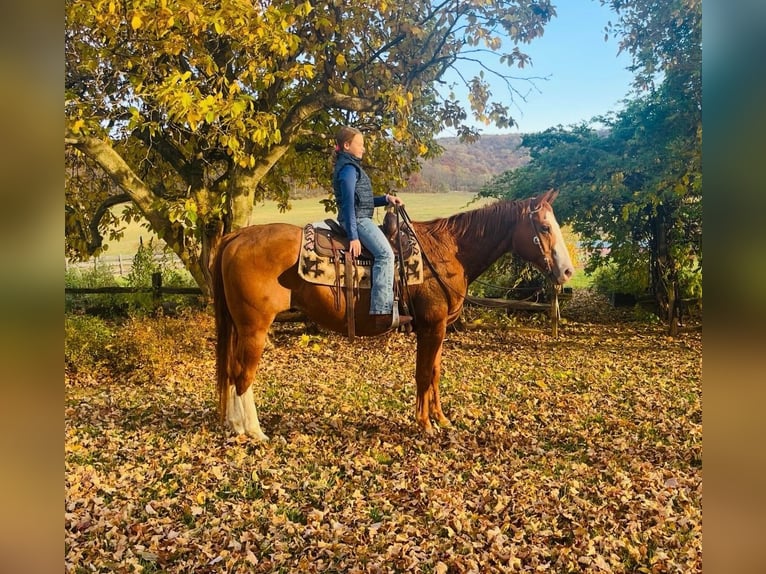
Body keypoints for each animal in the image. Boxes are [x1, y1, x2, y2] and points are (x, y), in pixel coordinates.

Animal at [212, 189, 574, 440]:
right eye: (544, 227)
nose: (568, 271)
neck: (445, 252)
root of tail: (237, 236)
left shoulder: (437, 329)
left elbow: (435, 373)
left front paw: (441, 419)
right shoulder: (432, 327)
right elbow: (424, 374)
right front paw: (424, 424)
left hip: (241, 327)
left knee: (231, 371)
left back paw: (235, 425)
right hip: (254, 328)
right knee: (243, 375)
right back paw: (254, 431)